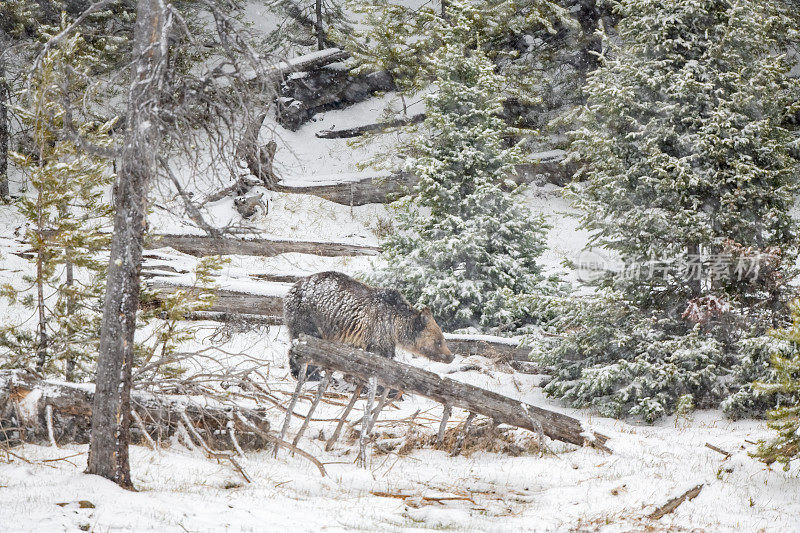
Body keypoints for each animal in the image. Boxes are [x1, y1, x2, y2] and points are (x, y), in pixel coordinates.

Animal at [284, 270, 454, 378]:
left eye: (443, 339)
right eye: (439, 341)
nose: (450, 356)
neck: (395, 327)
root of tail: (293, 287)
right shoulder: (378, 329)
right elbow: (380, 358)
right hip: (308, 315)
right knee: (305, 340)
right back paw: (306, 373)